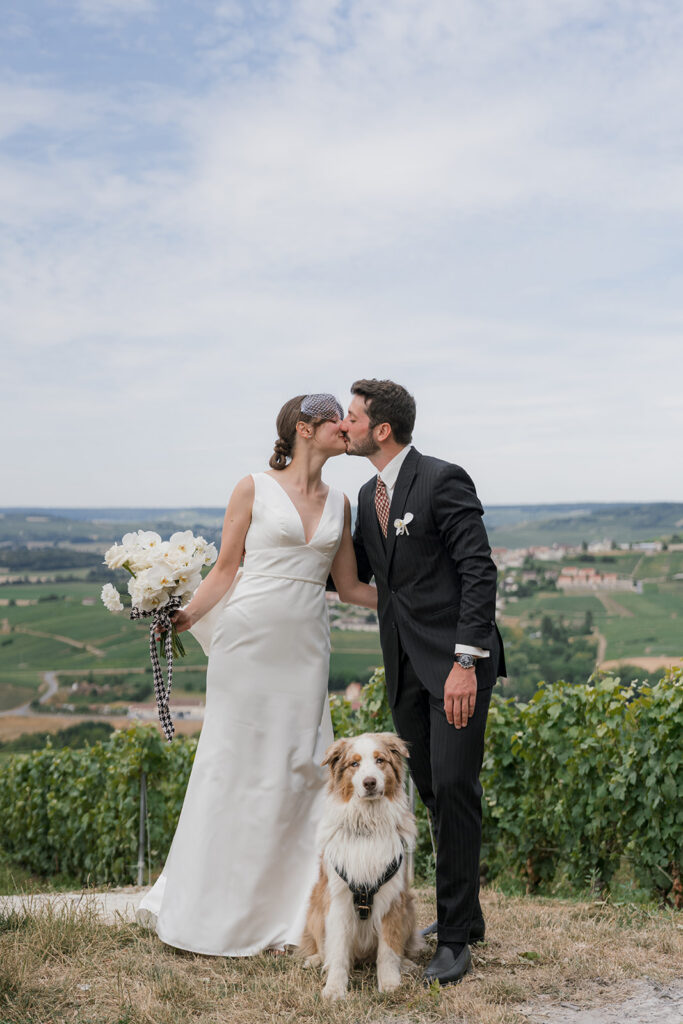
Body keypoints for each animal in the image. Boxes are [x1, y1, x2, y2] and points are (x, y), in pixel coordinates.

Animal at [299, 732, 425, 1000]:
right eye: (354, 763)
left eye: (380, 760)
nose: (369, 783)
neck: (368, 825)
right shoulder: (337, 900)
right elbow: (337, 952)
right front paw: (334, 988)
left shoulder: (392, 899)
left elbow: (388, 950)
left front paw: (390, 983)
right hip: (315, 908)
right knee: (321, 946)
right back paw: (316, 960)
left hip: (409, 908)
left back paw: (406, 963)